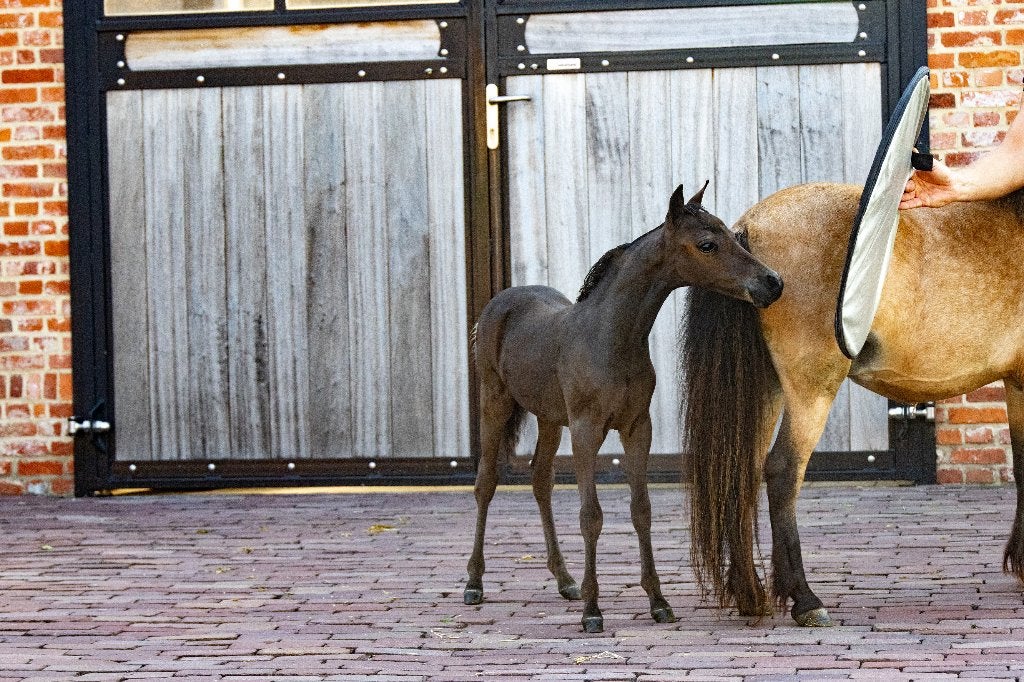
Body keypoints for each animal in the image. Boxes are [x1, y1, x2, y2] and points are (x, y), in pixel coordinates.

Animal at [463, 182, 784, 633]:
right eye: (708, 244)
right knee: (486, 483)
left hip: (549, 417)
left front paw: (658, 602)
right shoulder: (586, 429)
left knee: (540, 480)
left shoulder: (636, 428)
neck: (612, 338)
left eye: (730, 234)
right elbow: (591, 516)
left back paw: (565, 580)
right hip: (496, 403)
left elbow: (641, 510)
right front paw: (593, 611)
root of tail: (500, 301)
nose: (772, 283)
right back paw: (474, 582)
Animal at [682, 181, 1024, 627]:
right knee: (782, 471)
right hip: (812, 389)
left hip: (769, 388)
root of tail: (747, 228)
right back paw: (805, 600)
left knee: (742, 472)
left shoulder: (1016, 383)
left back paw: (750, 596)